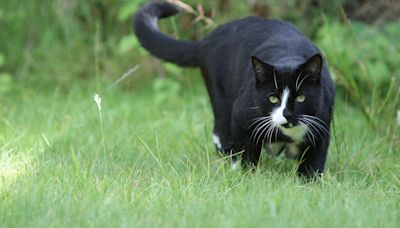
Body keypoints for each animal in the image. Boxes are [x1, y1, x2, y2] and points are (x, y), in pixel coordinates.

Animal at [134, 1, 334, 178]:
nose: (287, 114)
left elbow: (314, 162)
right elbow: (247, 151)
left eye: (301, 98)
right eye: (273, 98)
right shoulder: (241, 113)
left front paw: (308, 181)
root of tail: (207, 40)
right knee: (222, 130)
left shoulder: (322, 124)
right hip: (221, 96)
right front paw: (246, 174)